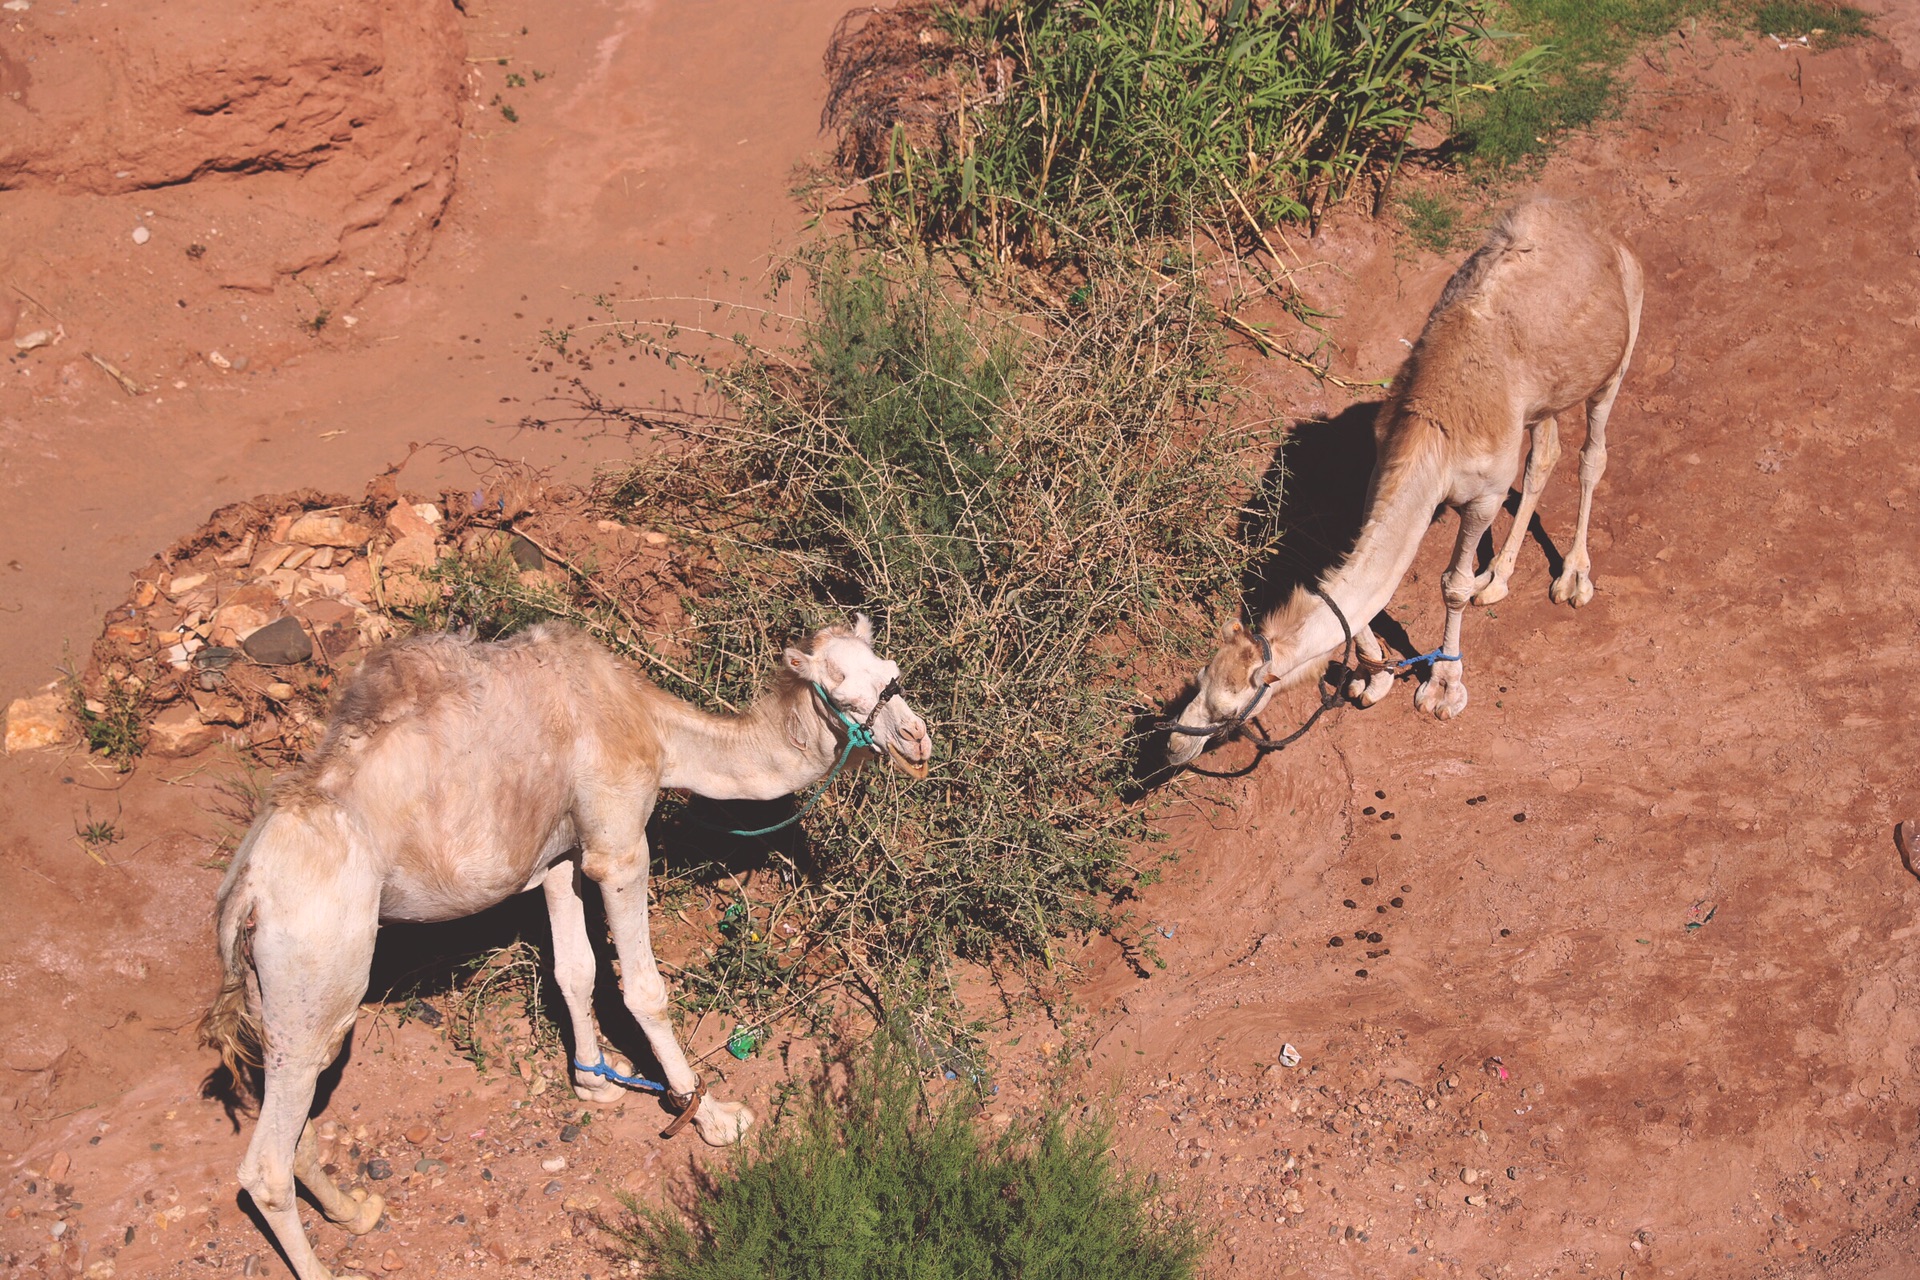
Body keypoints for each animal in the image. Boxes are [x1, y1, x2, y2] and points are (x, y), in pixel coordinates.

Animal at [198, 614, 933, 1274]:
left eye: (893, 672)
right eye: (838, 690)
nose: (918, 741)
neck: (654, 727)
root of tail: (248, 891)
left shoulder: (558, 856)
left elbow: (574, 970)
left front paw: (595, 1083)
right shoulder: (618, 843)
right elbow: (643, 989)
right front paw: (712, 1115)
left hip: (280, 989)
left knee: (295, 1106)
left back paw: (355, 1211)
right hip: (320, 956)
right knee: (264, 1164)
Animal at [1159, 197, 1643, 759]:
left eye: (1229, 711)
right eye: (1198, 680)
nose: (1174, 746)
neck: (1432, 428)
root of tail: (1603, 236)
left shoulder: (1484, 494)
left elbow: (1452, 585)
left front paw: (1444, 688)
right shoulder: (1382, 470)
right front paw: (1373, 677)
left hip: (1624, 337)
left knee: (1592, 454)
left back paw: (1572, 577)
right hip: (1544, 395)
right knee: (1545, 452)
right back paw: (1497, 578)